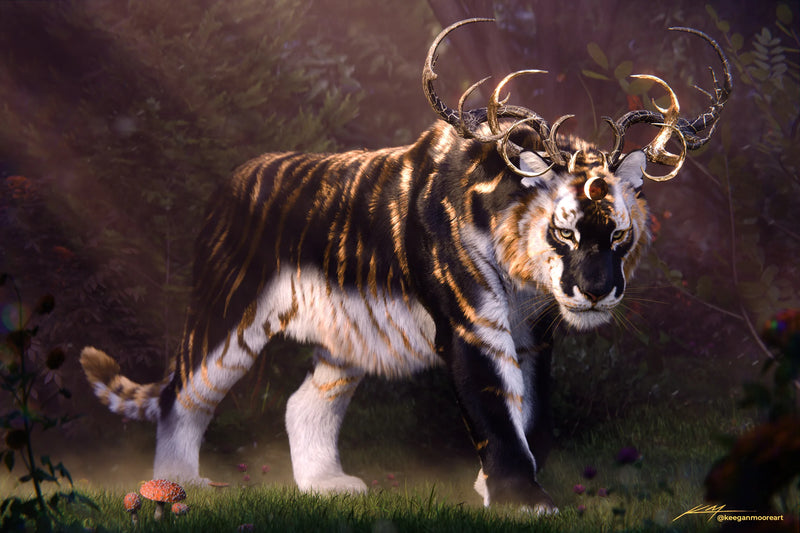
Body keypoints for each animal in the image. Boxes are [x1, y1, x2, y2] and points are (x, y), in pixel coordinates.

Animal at [80, 19, 730, 513]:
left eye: (617, 234)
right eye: (564, 232)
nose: (596, 292)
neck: (526, 280)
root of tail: (231, 180)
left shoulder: (535, 337)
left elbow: (530, 410)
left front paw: (496, 490)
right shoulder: (474, 329)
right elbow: (496, 412)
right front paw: (524, 502)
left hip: (343, 341)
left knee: (304, 403)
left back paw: (328, 487)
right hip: (226, 316)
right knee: (181, 397)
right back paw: (177, 486)